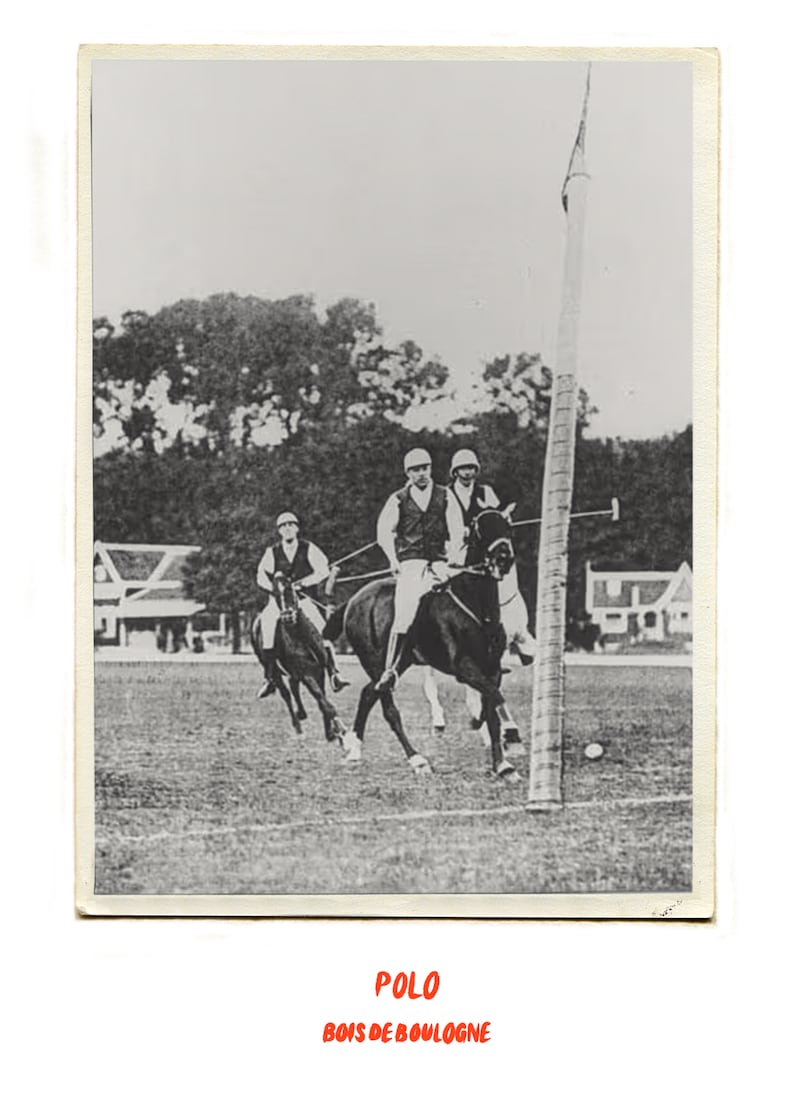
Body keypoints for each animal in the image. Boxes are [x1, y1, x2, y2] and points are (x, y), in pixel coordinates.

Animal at [250, 572, 348, 745]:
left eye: (290, 588)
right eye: (275, 594)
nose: (287, 616)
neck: (301, 637)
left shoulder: (319, 671)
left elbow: (323, 699)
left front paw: (330, 732)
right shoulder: (306, 674)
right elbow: (324, 703)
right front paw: (340, 731)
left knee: (293, 686)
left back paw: (302, 713)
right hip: (276, 670)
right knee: (286, 693)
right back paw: (298, 727)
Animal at [323, 507, 517, 780]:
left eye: (507, 527)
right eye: (481, 528)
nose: (504, 558)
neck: (477, 607)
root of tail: (353, 600)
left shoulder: (492, 668)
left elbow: (492, 706)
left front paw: (502, 764)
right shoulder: (463, 667)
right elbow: (494, 697)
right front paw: (482, 727)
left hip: (398, 662)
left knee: (369, 694)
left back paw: (354, 748)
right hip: (375, 662)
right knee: (388, 709)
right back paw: (416, 759)